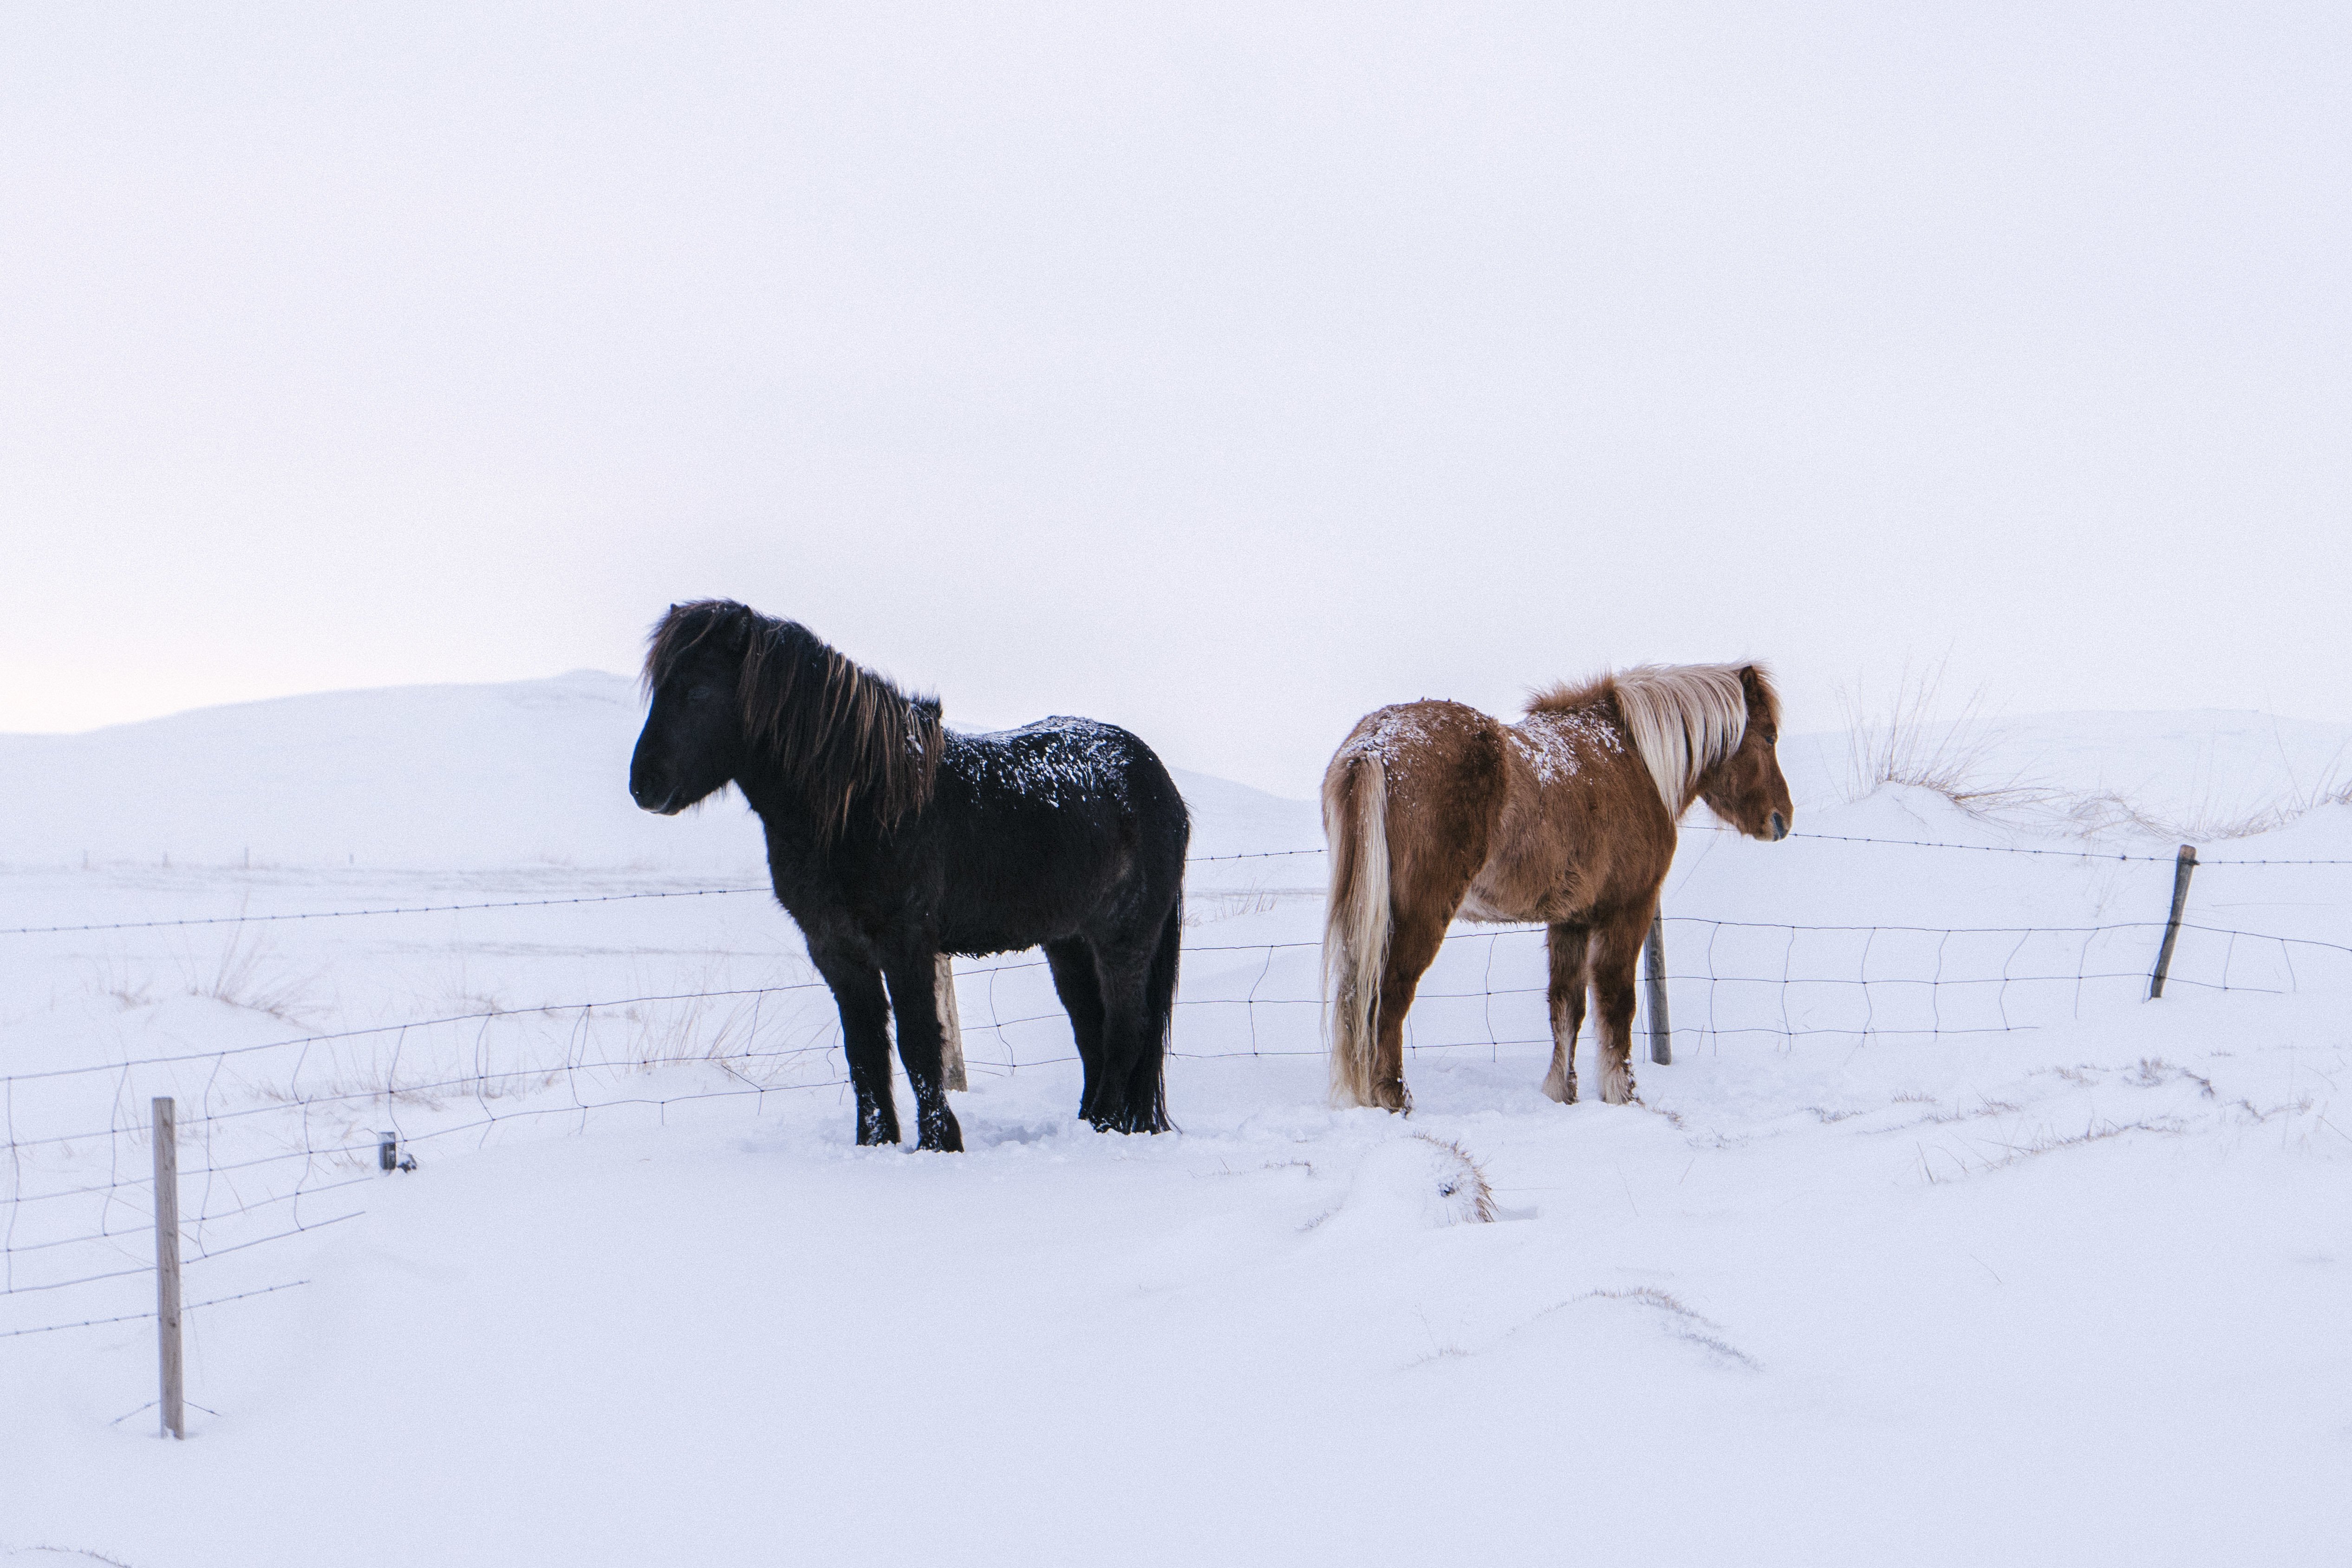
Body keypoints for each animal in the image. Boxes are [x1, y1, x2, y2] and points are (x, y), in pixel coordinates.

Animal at [629, 600, 1190, 1151]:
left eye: (698, 690)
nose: (643, 786)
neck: (862, 801)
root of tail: (1156, 780)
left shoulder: (906, 943)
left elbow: (918, 1045)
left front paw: (940, 1143)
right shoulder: (836, 950)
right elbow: (865, 1052)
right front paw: (874, 1143)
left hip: (1123, 937)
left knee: (1125, 1031)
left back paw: (1104, 1128)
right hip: (1068, 942)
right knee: (1092, 1032)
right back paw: (1090, 1123)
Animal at [1321, 664, 1791, 1114]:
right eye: (1768, 736)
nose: (1781, 819)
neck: (1634, 758)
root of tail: (1373, 745)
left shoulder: (1571, 919)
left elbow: (1567, 1007)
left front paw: (1562, 1092)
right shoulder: (1629, 910)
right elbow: (1616, 1001)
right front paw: (1624, 1094)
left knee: (1357, 996)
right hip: (1418, 916)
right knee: (1388, 997)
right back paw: (1394, 1097)